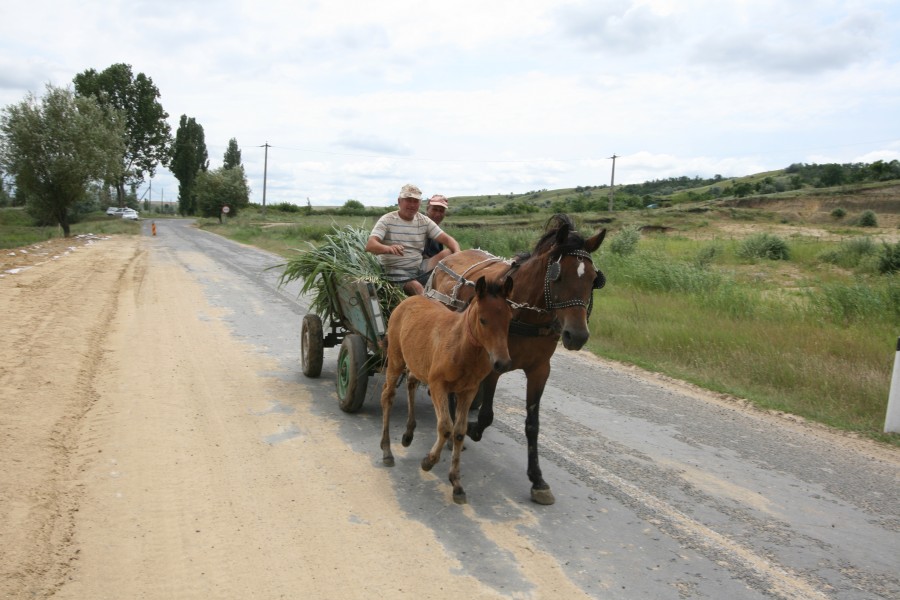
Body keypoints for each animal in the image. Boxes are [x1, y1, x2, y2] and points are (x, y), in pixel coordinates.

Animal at [380, 274, 512, 504]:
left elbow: (459, 432)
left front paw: (457, 484)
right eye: (483, 319)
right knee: (387, 395)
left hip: (417, 363)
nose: (502, 363)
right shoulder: (438, 385)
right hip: (395, 358)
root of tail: (409, 300)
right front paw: (428, 461)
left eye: (509, 319)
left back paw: (408, 434)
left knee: (411, 383)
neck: (463, 346)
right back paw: (387, 450)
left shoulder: (468, 391)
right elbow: (445, 427)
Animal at [428, 213, 608, 504]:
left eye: (594, 279)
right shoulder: (493, 365)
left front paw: (538, 480)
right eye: (558, 276)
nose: (577, 336)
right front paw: (473, 428)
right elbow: (487, 415)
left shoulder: (540, 370)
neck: (525, 310)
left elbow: (533, 425)